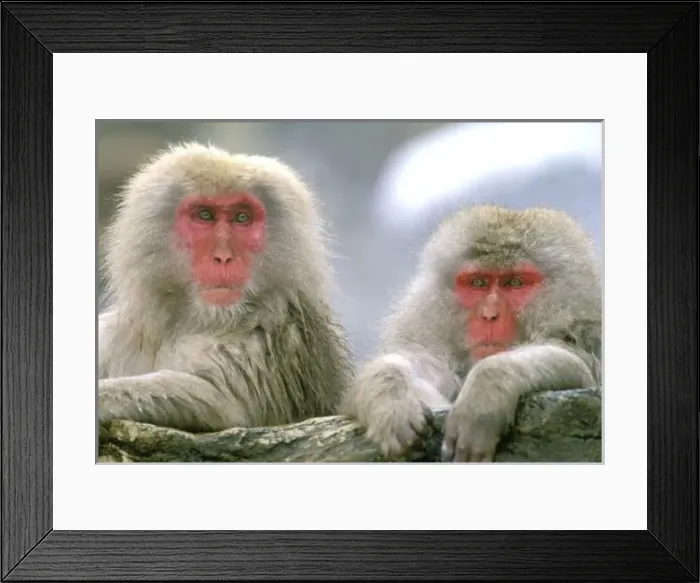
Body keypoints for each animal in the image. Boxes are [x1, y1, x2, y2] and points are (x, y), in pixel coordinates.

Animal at [97, 141, 354, 434]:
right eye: (204, 215)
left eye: (241, 217)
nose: (222, 257)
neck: (193, 321)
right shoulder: (113, 336)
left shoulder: (270, 334)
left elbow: (221, 402)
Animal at [339, 204, 601, 462]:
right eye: (477, 283)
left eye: (514, 282)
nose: (489, 315)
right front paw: (391, 395)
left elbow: (581, 370)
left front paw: (485, 390)